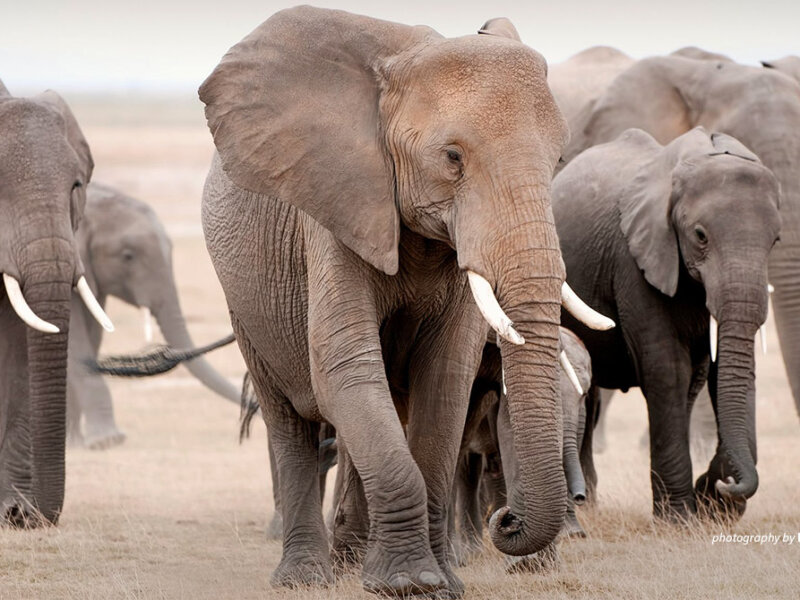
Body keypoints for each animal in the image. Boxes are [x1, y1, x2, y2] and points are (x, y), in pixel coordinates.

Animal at [198, 7, 611, 596]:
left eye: (559, 159)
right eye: (452, 158)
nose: (505, 520)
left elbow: (445, 378)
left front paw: (440, 582)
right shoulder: (335, 209)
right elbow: (343, 366)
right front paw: (408, 583)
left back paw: (352, 559)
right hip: (244, 300)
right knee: (290, 417)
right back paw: (307, 577)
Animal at [554, 126, 781, 520]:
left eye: (775, 241)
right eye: (700, 235)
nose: (724, 485)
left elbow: (705, 374)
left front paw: (707, 503)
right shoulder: (634, 259)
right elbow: (668, 370)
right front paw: (678, 518)